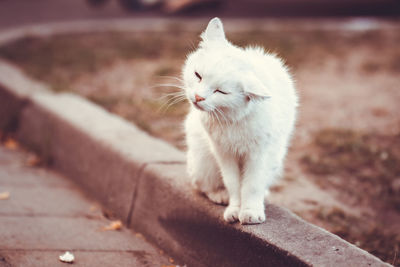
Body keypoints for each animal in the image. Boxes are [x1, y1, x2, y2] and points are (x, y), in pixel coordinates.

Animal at [181, 17, 296, 225]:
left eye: (221, 91)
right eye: (197, 76)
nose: (198, 97)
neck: (233, 119)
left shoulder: (258, 155)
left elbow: (251, 186)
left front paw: (251, 212)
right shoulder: (224, 153)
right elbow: (233, 184)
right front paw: (234, 209)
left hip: (275, 160)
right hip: (203, 162)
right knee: (203, 186)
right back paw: (220, 195)